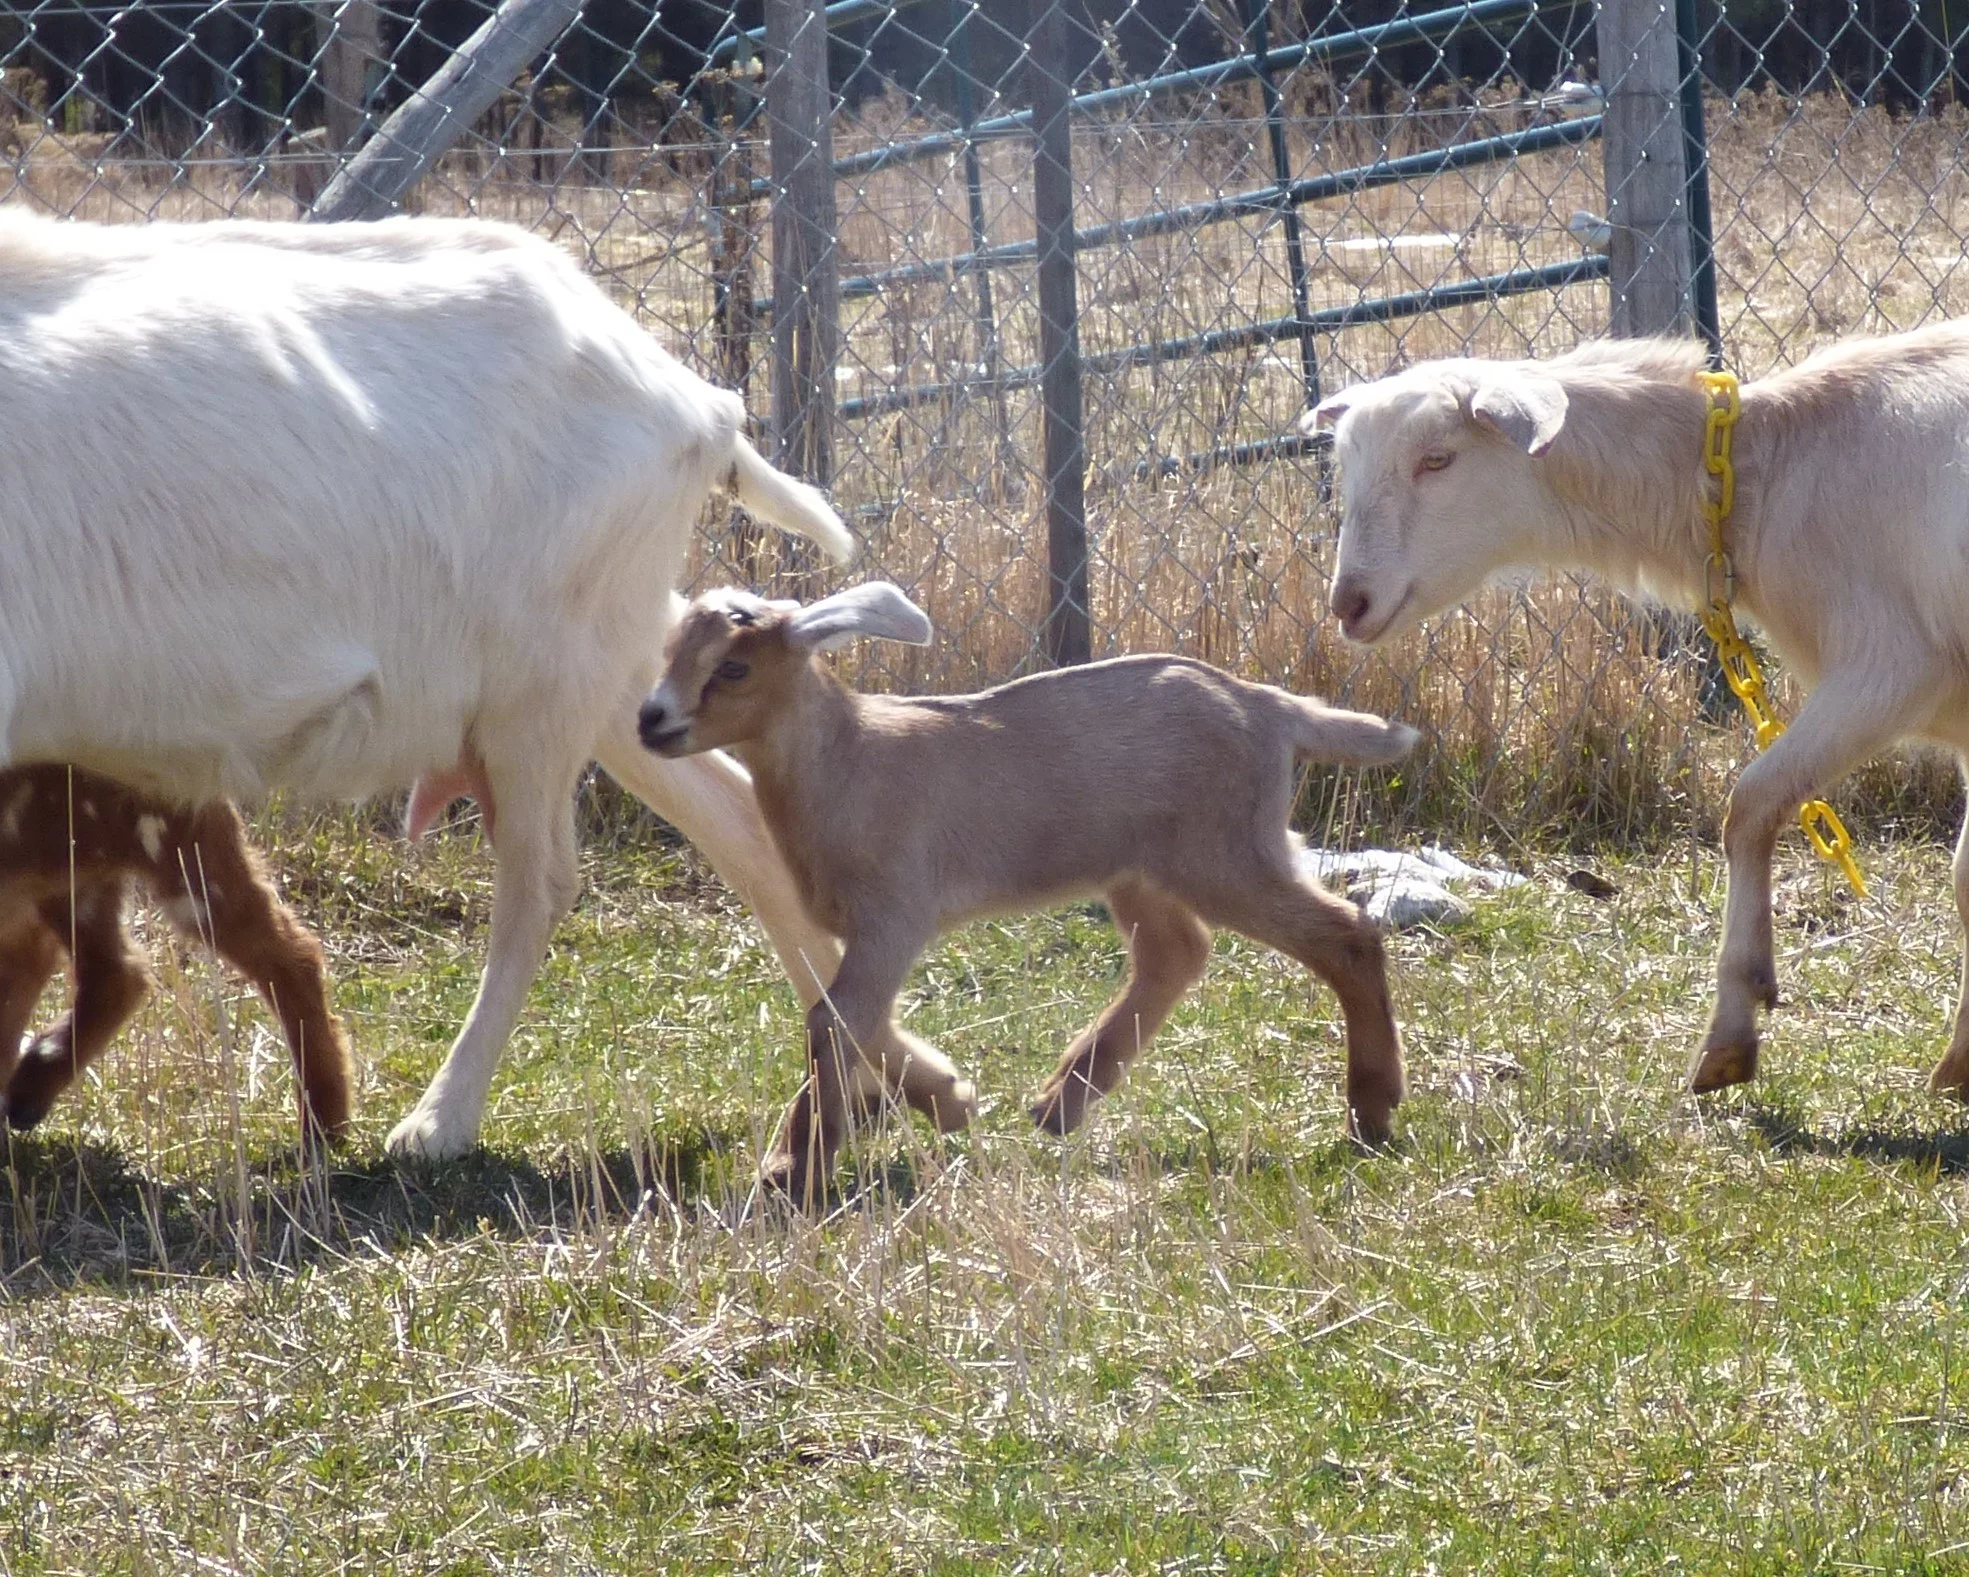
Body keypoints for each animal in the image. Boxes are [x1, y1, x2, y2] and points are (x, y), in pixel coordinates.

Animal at [637, 583, 1417, 1204]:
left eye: (733, 667)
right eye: (670, 652)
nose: (651, 721)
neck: (848, 759)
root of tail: (1269, 706)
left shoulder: (894, 910)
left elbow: (834, 1020)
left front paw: (789, 1168)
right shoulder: (867, 927)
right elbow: (852, 1016)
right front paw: (943, 1098)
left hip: (1223, 851)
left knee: (1345, 933)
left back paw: (1371, 1110)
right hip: (1141, 866)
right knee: (1177, 952)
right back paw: (1061, 1102)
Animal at [1302, 324, 1969, 1098]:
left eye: (1437, 458)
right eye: (1344, 464)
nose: (1347, 603)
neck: (1769, 465)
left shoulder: (1888, 667)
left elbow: (1750, 804)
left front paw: (1730, 1035)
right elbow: (1962, 876)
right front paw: (1959, 1061)